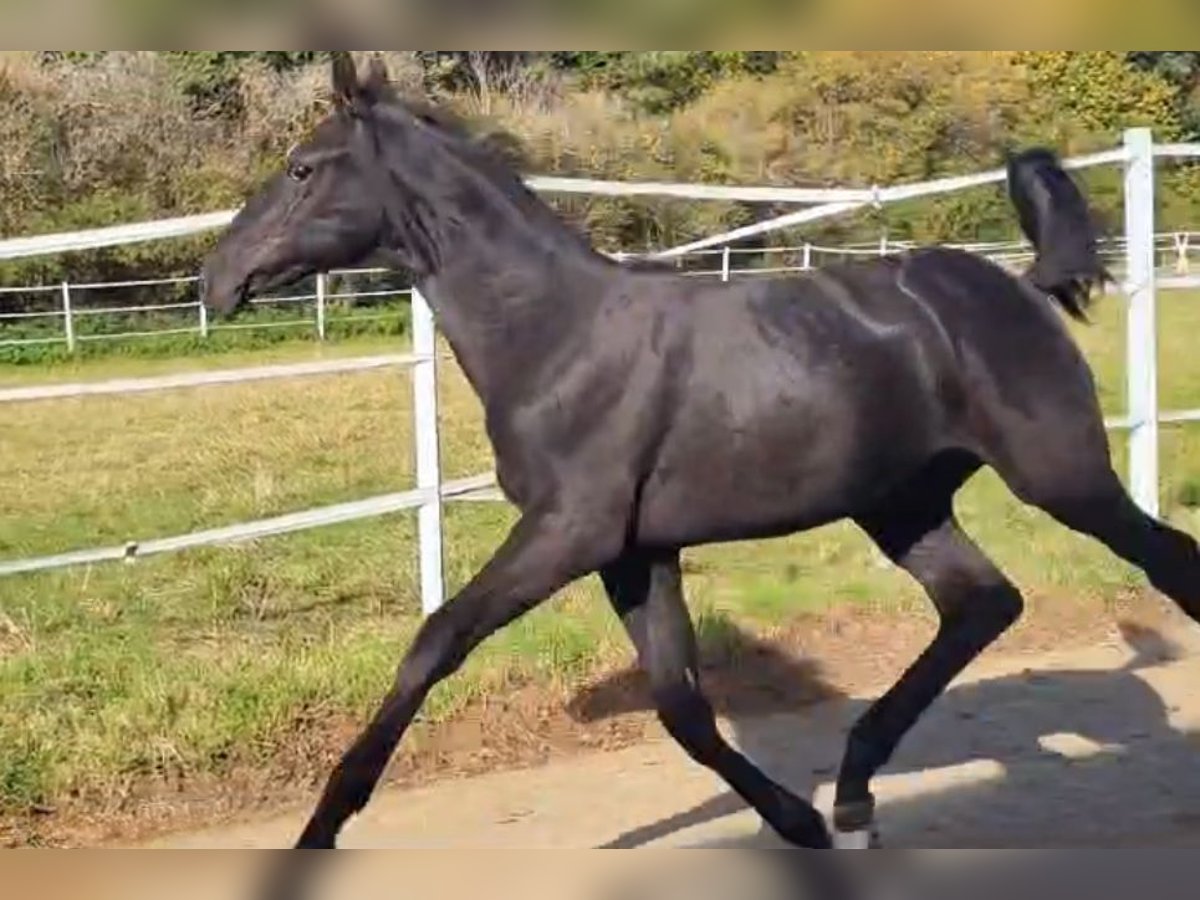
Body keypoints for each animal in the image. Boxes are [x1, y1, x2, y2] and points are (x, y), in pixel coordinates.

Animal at [199, 56, 1200, 854]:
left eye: (302, 167)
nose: (217, 280)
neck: (557, 336)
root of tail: (1023, 288)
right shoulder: (635, 550)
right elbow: (680, 705)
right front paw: (796, 822)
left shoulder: (569, 531)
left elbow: (437, 639)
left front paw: (325, 824)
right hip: (901, 505)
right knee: (983, 603)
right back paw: (852, 794)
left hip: (1061, 475)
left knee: (1166, 561)